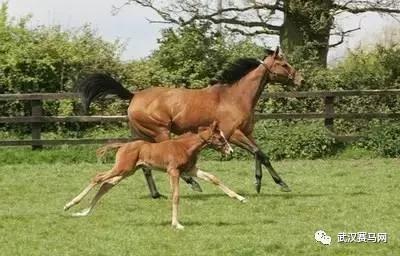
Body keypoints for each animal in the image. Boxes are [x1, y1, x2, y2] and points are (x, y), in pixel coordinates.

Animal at [63, 122, 244, 230]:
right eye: (219, 137)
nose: (230, 151)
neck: (185, 147)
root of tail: (123, 145)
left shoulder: (191, 169)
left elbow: (213, 178)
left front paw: (240, 198)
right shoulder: (174, 172)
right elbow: (176, 196)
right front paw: (176, 224)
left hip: (127, 171)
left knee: (105, 185)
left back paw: (83, 212)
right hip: (121, 168)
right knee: (98, 177)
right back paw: (69, 205)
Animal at [78, 46, 304, 198]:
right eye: (284, 64)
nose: (300, 79)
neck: (236, 97)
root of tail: (134, 96)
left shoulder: (247, 133)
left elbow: (260, 154)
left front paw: (261, 183)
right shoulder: (233, 134)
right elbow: (260, 153)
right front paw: (278, 184)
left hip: (141, 136)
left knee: (144, 165)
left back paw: (157, 194)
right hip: (160, 132)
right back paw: (193, 183)